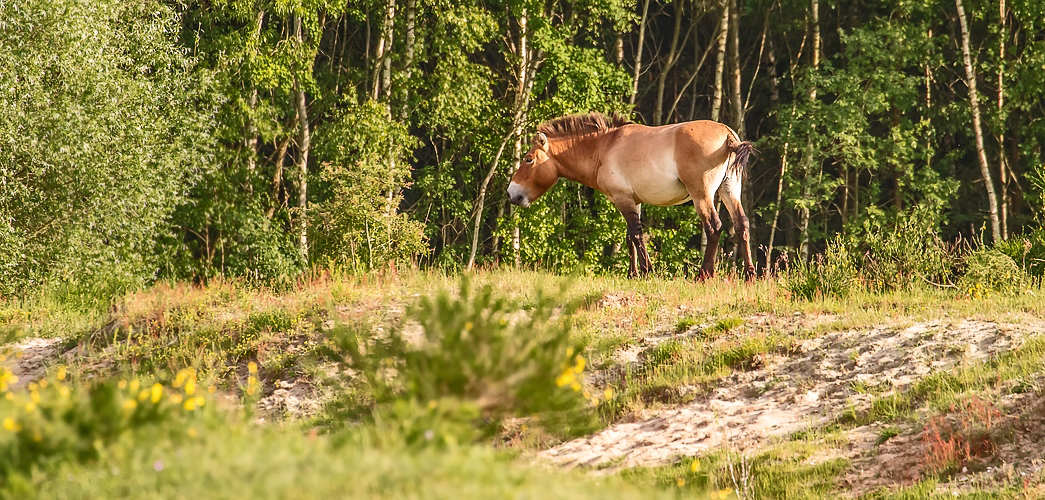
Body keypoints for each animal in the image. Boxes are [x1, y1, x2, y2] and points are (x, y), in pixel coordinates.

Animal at [503, 110, 752, 280]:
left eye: (528, 159)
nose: (511, 193)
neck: (604, 147)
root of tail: (727, 135)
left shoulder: (623, 199)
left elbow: (636, 235)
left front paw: (647, 271)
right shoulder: (633, 201)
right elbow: (630, 237)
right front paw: (633, 274)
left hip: (702, 195)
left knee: (714, 227)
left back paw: (704, 274)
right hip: (730, 190)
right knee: (741, 224)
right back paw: (750, 275)